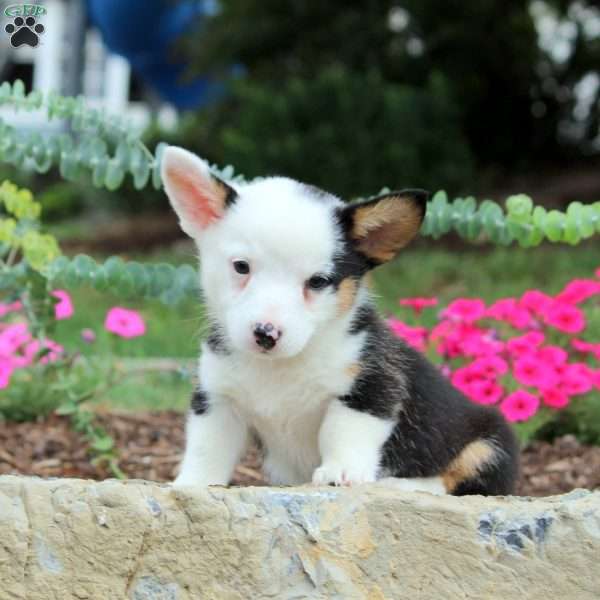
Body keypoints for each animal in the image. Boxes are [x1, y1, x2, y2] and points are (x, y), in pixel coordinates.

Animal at [162, 146, 516, 496]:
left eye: (318, 281)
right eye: (241, 267)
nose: (265, 333)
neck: (280, 365)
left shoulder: (369, 388)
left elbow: (342, 431)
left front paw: (340, 471)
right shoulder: (217, 398)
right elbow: (207, 447)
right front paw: (190, 483)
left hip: (492, 442)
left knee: (451, 482)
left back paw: (399, 484)